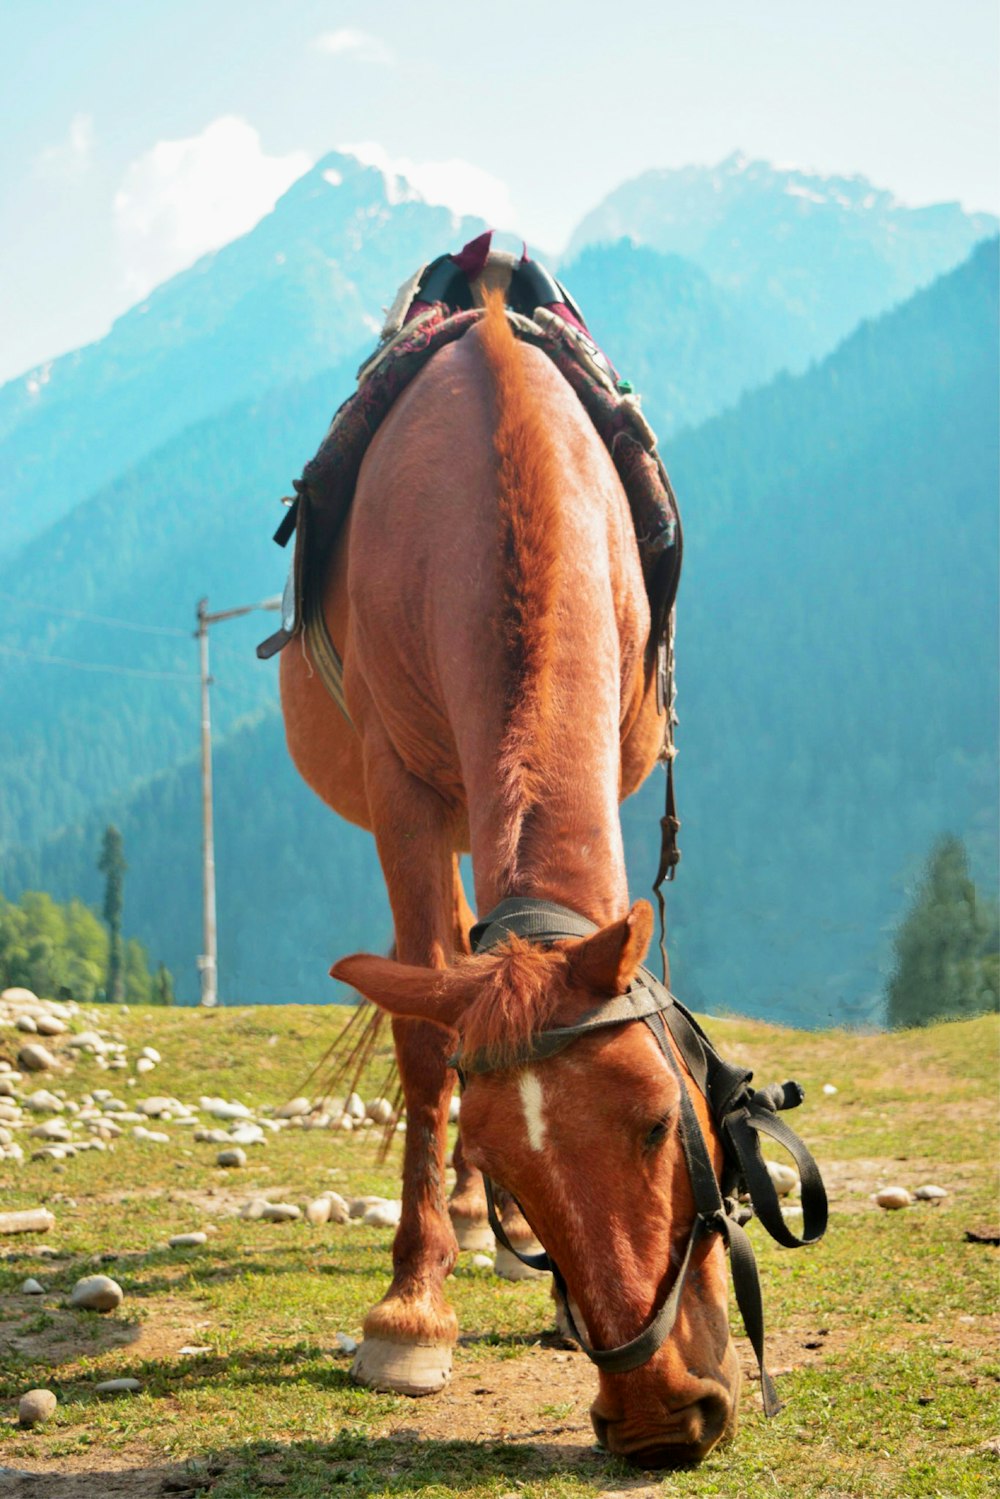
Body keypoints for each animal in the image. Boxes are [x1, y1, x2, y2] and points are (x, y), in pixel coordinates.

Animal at [277, 289, 740, 1463]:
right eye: (513, 1152)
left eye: (659, 1120)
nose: (657, 1414)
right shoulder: (401, 792)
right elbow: (424, 1036)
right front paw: (409, 1309)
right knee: (437, 961)